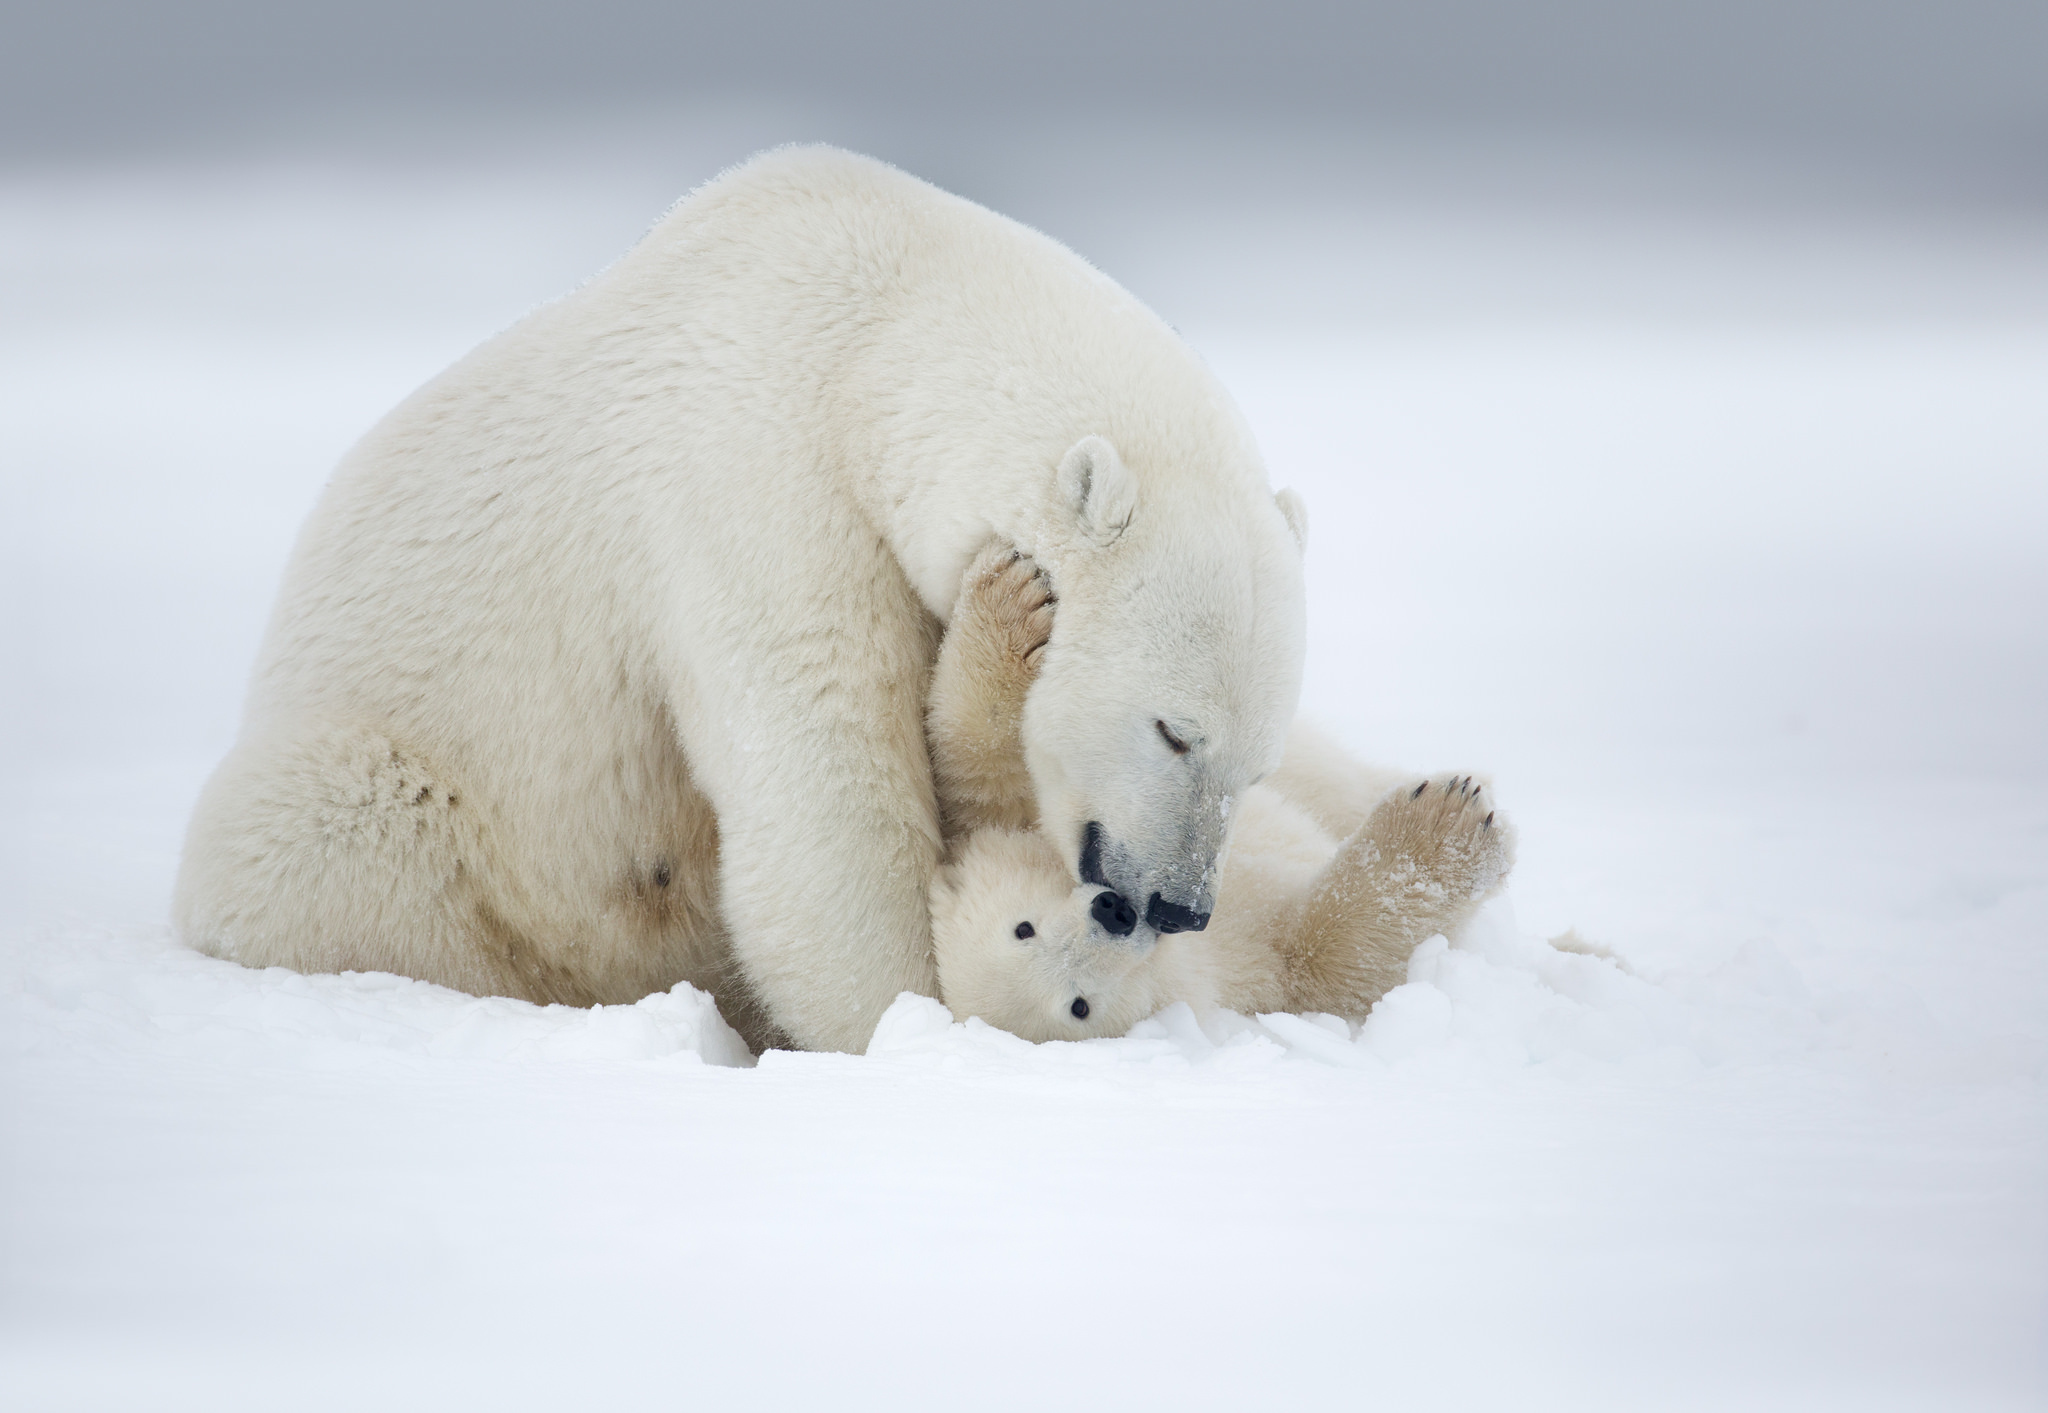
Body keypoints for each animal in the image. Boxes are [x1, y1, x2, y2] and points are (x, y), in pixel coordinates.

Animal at [172, 145, 1294, 1044]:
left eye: (1253, 764)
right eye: (1174, 730)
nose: (1177, 905)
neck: (874, 328)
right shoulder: (755, 487)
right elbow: (824, 789)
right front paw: (910, 1019)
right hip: (399, 795)